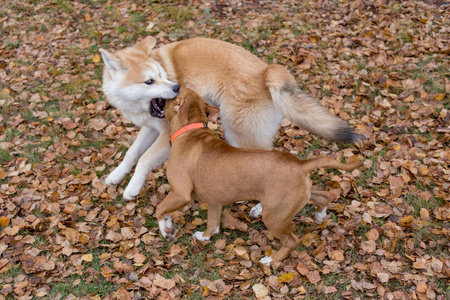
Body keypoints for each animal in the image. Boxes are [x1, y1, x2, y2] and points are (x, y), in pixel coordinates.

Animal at [99, 36, 362, 210]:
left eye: (162, 75)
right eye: (149, 81)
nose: (176, 88)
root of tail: (266, 72)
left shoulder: (166, 135)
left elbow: (144, 159)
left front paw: (132, 188)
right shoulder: (150, 128)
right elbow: (131, 153)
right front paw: (116, 176)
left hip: (238, 132)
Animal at [155, 86, 362, 264]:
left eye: (177, 90)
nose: (174, 85)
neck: (190, 130)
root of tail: (301, 164)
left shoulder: (180, 193)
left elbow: (160, 209)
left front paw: (167, 229)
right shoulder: (214, 202)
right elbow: (212, 225)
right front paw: (204, 237)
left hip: (274, 216)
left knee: (292, 241)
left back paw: (271, 260)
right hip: (298, 198)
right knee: (324, 195)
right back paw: (320, 215)